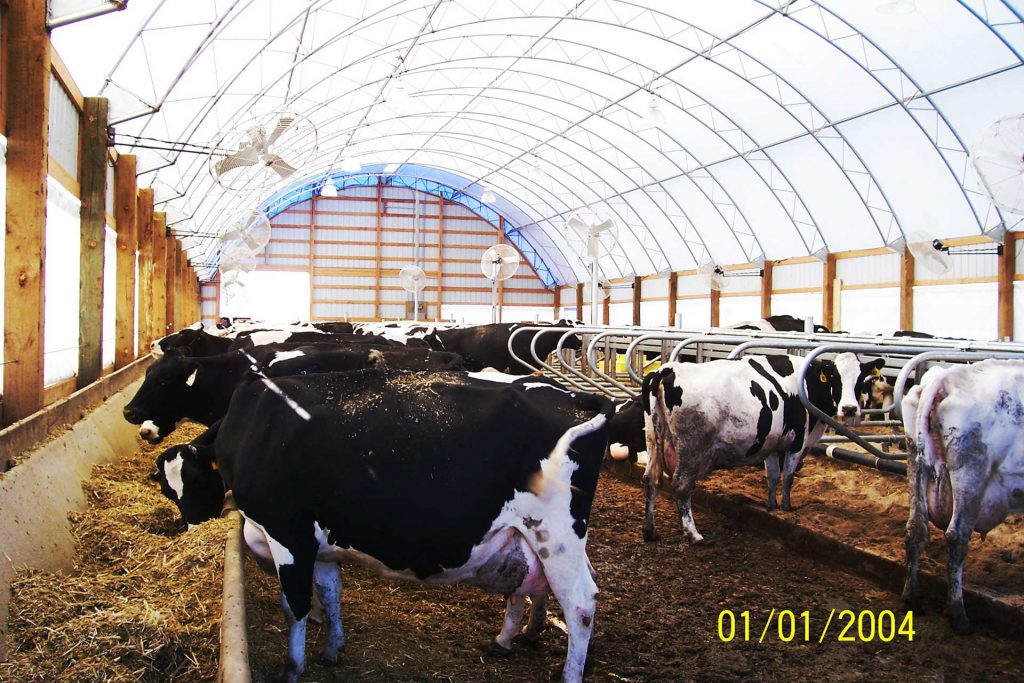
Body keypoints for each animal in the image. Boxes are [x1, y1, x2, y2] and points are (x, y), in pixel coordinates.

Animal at [154, 368, 610, 683]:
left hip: (555, 532)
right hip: (539, 537)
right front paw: (332, 648)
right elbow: (330, 592)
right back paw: (508, 639)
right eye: (168, 490)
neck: (253, 427)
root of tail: (576, 397)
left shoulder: (288, 533)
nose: (192, 529)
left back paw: (569, 673)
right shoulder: (321, 540)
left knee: (581, 603)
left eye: (194, 482)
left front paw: (293, 667)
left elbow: (295, 605)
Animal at [643, 352, 884, 544]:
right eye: (834, 377)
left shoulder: (771, 445)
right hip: (692, 449)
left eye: (861, 379)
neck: (804, 384)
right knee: (682, 485)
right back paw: (694, 534)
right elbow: (788, 477)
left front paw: (771, 504)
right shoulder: (797, 442)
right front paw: (786, 507)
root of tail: (669, 369)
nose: (850, 408)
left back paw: (650, 531)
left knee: (651, 479)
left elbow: (773, 476)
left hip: (653, 439)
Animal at [901, 360, 1019, 634]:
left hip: (915, 460)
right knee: (956, 536)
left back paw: (911, 599)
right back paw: (957, 613)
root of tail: (945, 378)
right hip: (970, 472)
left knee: (915, 529)